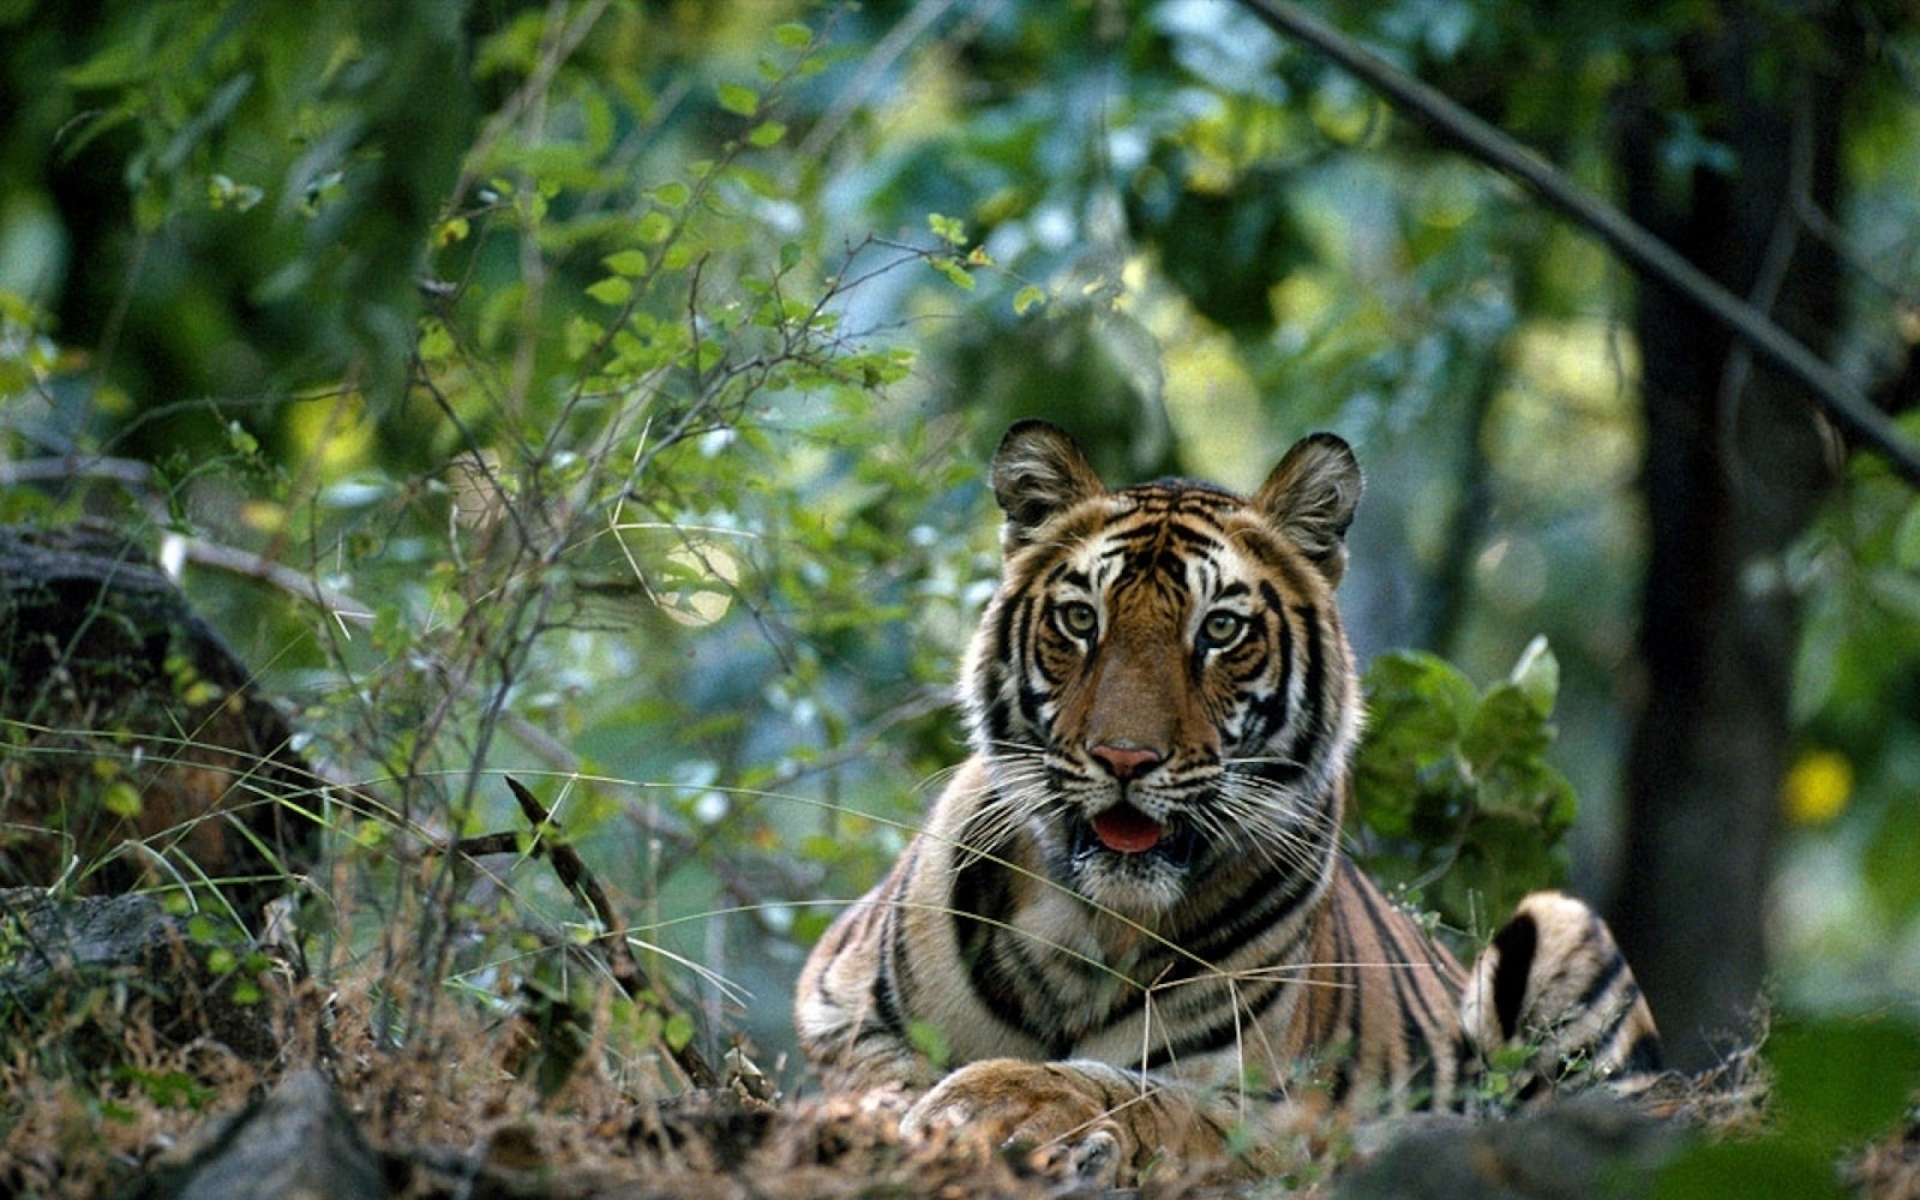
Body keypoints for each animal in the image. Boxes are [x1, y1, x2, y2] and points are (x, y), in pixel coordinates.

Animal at [795, 419, 1662, 1184]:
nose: (1124, 758)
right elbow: (878, 1071)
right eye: (1080, 619)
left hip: (1561, 926)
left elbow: (1137, 1093)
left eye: (1219, 630)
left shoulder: (1277, 1109)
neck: (1092, 932)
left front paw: (1002, 1101)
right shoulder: (832, 1003)